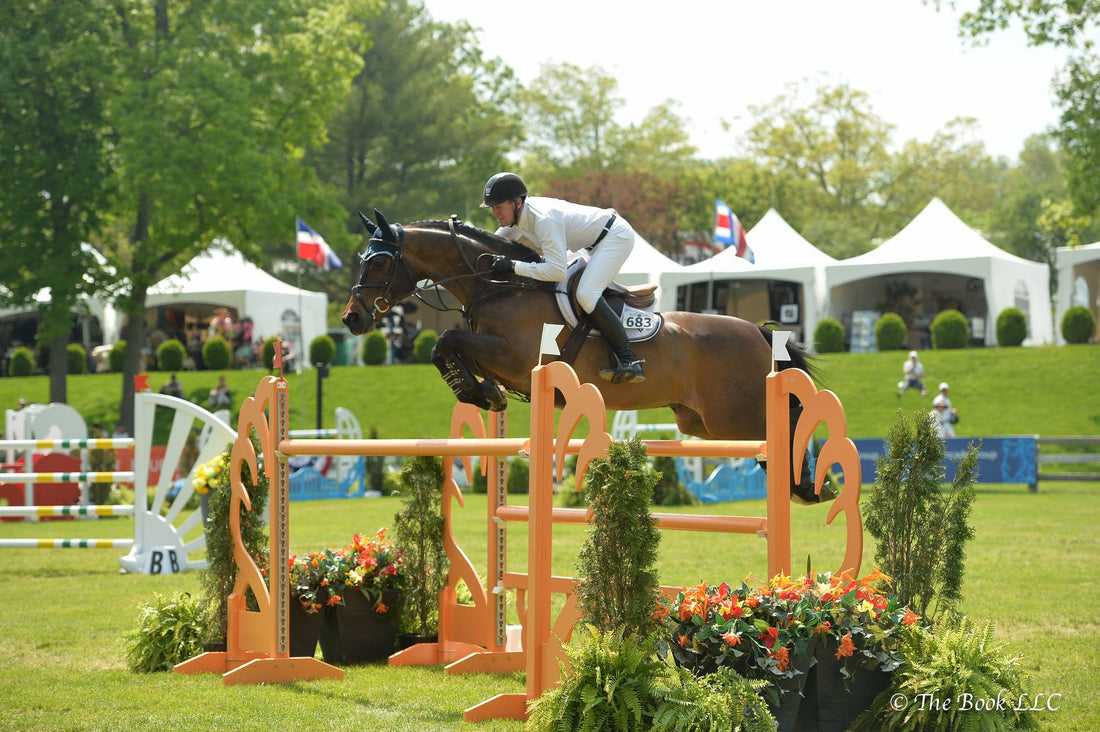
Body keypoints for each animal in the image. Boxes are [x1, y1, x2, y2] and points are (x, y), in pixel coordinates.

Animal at [343, 206, 827, 497]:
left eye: (379, 261)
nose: (351, 318)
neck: (499, 287)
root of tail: (758, 332)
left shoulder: (514, 358)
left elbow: (446, 341)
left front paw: (481, 392)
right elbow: (445, 350)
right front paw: (481, 392)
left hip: (735, 416)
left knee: (790, 419)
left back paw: (805, 480)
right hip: (702, 422)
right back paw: (803, 482)